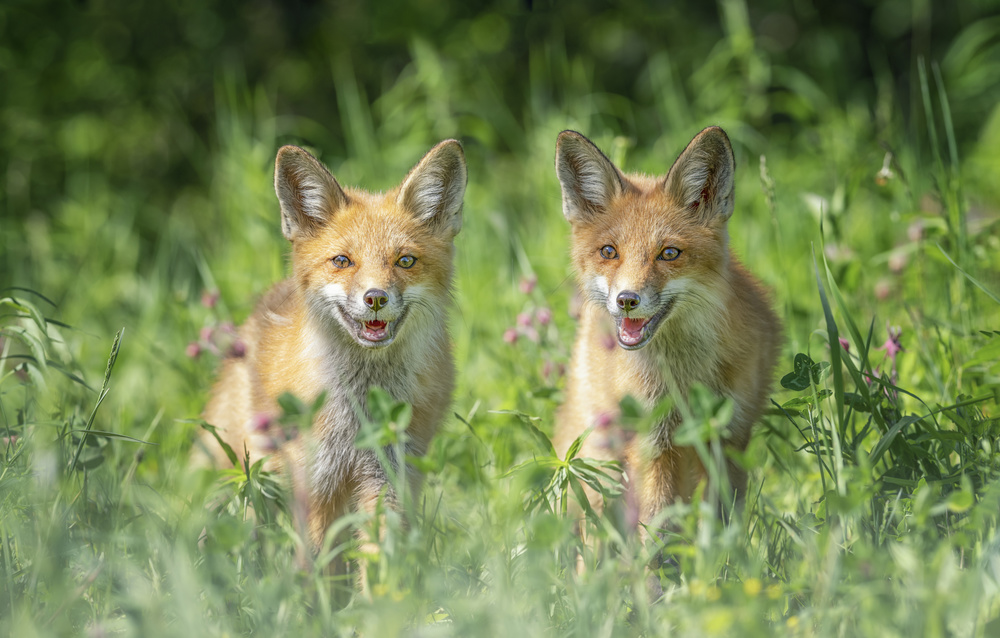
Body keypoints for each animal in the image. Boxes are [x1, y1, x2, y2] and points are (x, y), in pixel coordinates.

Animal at [201, 139, 470, 556]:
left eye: (405, 260)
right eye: (342, 261)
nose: (375, 298)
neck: (358, 413)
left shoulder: (388, 476)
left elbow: (381, 556)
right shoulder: (316, 484)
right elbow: (317, 562)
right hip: (252, 478)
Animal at [556, 127, 780, 532]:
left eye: (669, 253)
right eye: (609, 251)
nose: (626, 300)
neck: (684, 378)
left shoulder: (729, 436)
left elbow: (721, 520)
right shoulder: (653, 443)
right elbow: (659, 526)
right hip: (601, 463)